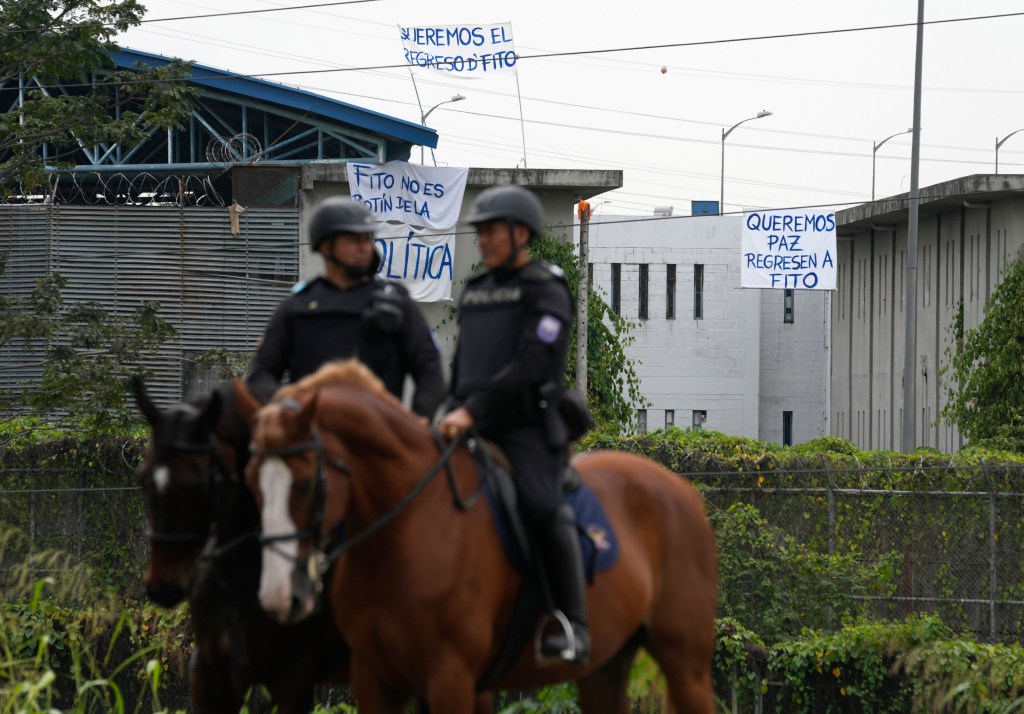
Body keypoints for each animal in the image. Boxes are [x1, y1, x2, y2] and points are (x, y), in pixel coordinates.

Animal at [134, 381, 350, 708]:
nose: (162, 587)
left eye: (197, 484)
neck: (239, 575)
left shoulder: (294, 680)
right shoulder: (210, 672)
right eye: (144, 479)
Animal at [242, 364, 716, 708]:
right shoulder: (375, 680)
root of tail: (682, 489)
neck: (404, 531)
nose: (278, 597)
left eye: (306, 484)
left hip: (685, 664)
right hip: (605, 667)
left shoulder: (450, 678)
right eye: (252, 482)